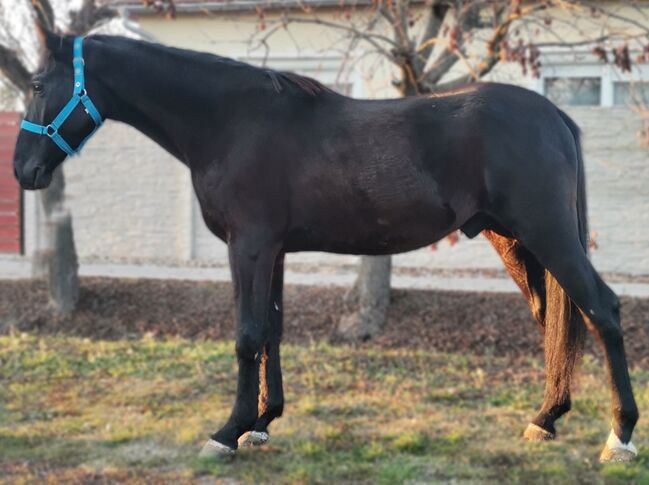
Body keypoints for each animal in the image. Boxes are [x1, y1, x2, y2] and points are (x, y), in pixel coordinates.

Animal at [12, 30, 636, 462]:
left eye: (38, 85)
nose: (22, 171)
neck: (230, 122)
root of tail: (555, 115)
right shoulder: (272, 252)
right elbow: (272, 331)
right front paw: (263, 423)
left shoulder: (249, 247)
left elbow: (247, 336)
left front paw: (227, 433)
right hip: (516, 242)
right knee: (553, 316)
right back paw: (546, 418)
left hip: (547, 234)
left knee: (601, 309)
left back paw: (619, 435)